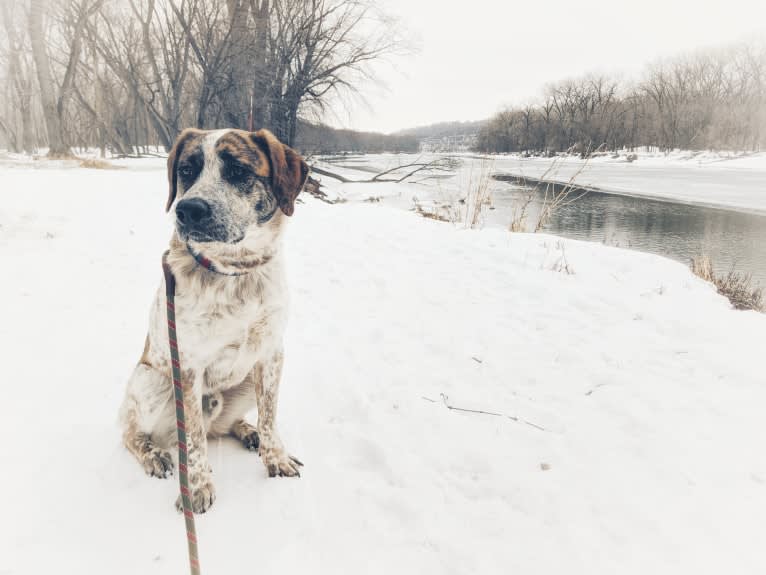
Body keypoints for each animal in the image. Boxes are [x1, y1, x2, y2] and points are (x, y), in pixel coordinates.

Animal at [120, 129, 308, 512]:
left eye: (237, 171)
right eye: (186, 171)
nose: (188, 209)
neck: (236, 272)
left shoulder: (271, 353)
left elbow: (270, 415)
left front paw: (275, 457)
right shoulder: (188, 366)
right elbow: (192, 439)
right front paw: (196, 486)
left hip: (245, 382)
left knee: (222, 427)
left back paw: (247, 431)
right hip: (151, 380)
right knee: (133, 433)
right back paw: (153, 454)